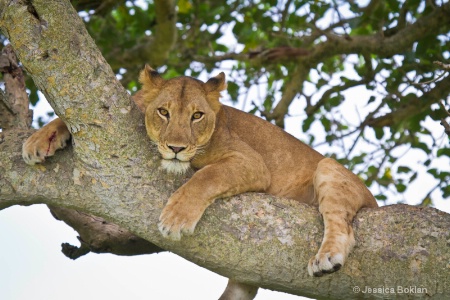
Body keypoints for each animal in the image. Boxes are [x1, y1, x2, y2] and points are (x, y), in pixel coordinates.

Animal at [22, 66, 378, 300]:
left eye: (197, 116)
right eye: (163, 112)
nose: (176, 148)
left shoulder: (251, 163)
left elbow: (207, 175)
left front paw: (177, 217)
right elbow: (66, 117)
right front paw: (40, 139)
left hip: (329, 167)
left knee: (342, 225)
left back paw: (326, 259)